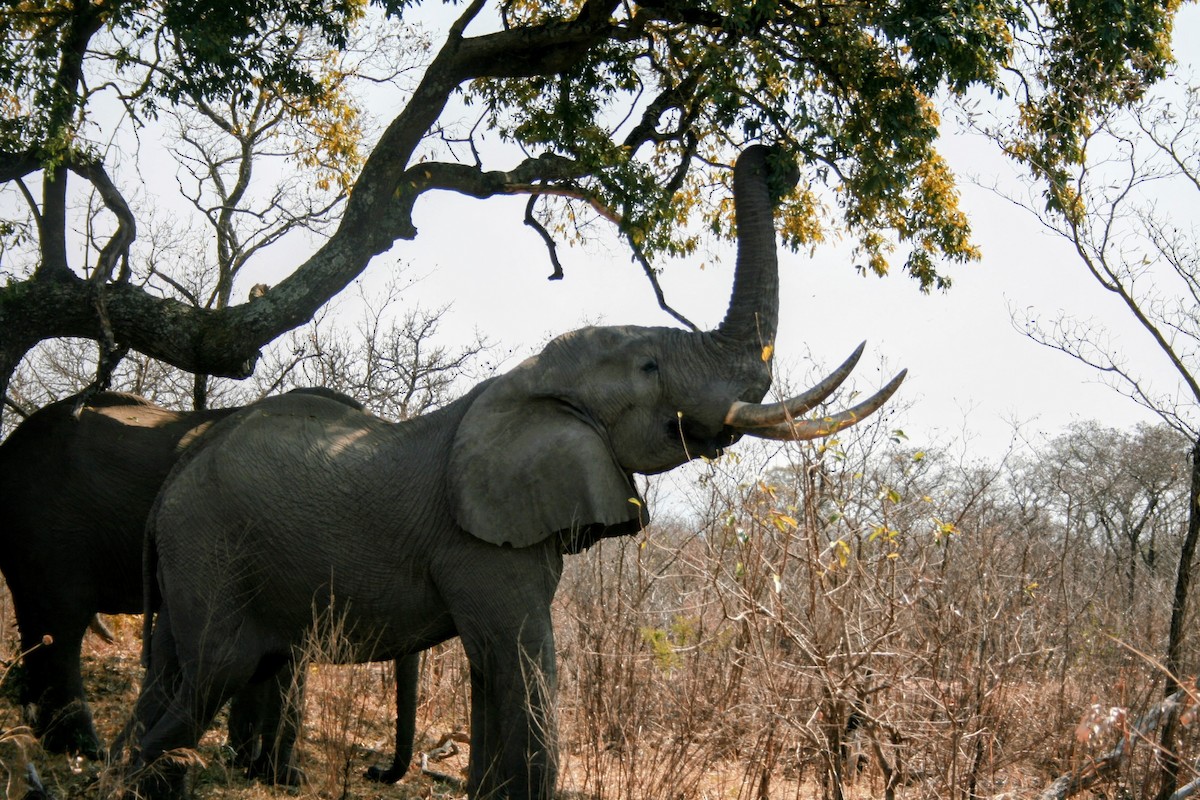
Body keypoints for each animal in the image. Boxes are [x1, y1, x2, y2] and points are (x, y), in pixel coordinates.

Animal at [0, 389, 418, 783]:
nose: (374, 772)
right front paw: (285, 779)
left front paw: (249, 766)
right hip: (49, 527)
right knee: (62, 625)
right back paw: (84, 747)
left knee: (42, 625)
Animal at [131, 145, 905, 800]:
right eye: (650, 367)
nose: (774, 157)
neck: (528, 381)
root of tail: (167, 488)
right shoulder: (479, 542)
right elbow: (522, 659)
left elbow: (490, 667)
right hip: (210, 546)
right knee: (214, 670)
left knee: (174, 668)